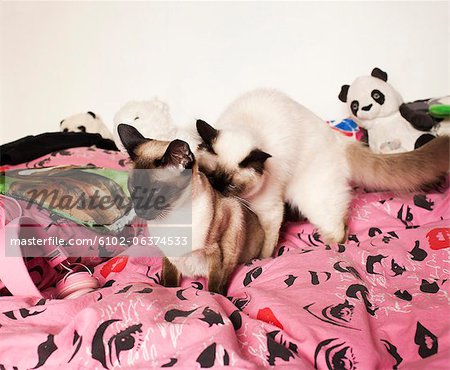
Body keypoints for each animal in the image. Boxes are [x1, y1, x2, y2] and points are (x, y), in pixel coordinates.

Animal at [117, 124, 264, 294]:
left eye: (155, 191)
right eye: (133, 188)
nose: (140, 210)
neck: (174, 216)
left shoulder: (216, 252)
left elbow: (215, 286)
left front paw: (215, 297)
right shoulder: (170, 256)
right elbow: (170, 282)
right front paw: (167, 289)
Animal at [197, 88, 450, 258]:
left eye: (231, 185)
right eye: (210, 177)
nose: (218, 191)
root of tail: (340, 140)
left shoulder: (269, 210)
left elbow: (267, 246)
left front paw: (261, 262)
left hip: (315, 201)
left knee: (339, 230)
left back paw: (331, 251)